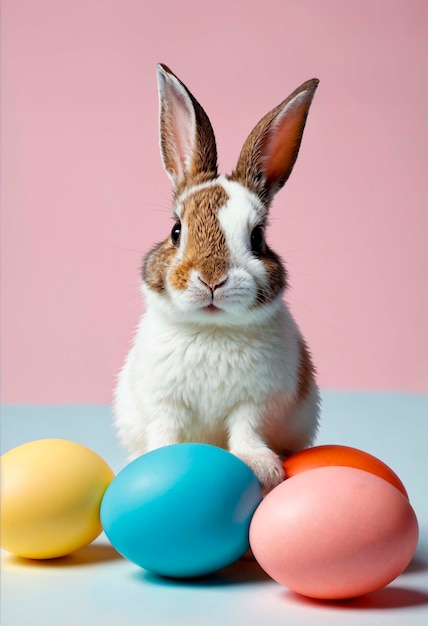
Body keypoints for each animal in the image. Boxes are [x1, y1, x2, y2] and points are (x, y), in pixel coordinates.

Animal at [114, 66, 320, 490]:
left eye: (257, 238)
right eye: (176, 231)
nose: (212, 280)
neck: (212, 329)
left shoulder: (255, 403)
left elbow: (246, 430)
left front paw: (261, 467)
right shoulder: (163, 402)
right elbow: (165, 431)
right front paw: (154, 463)